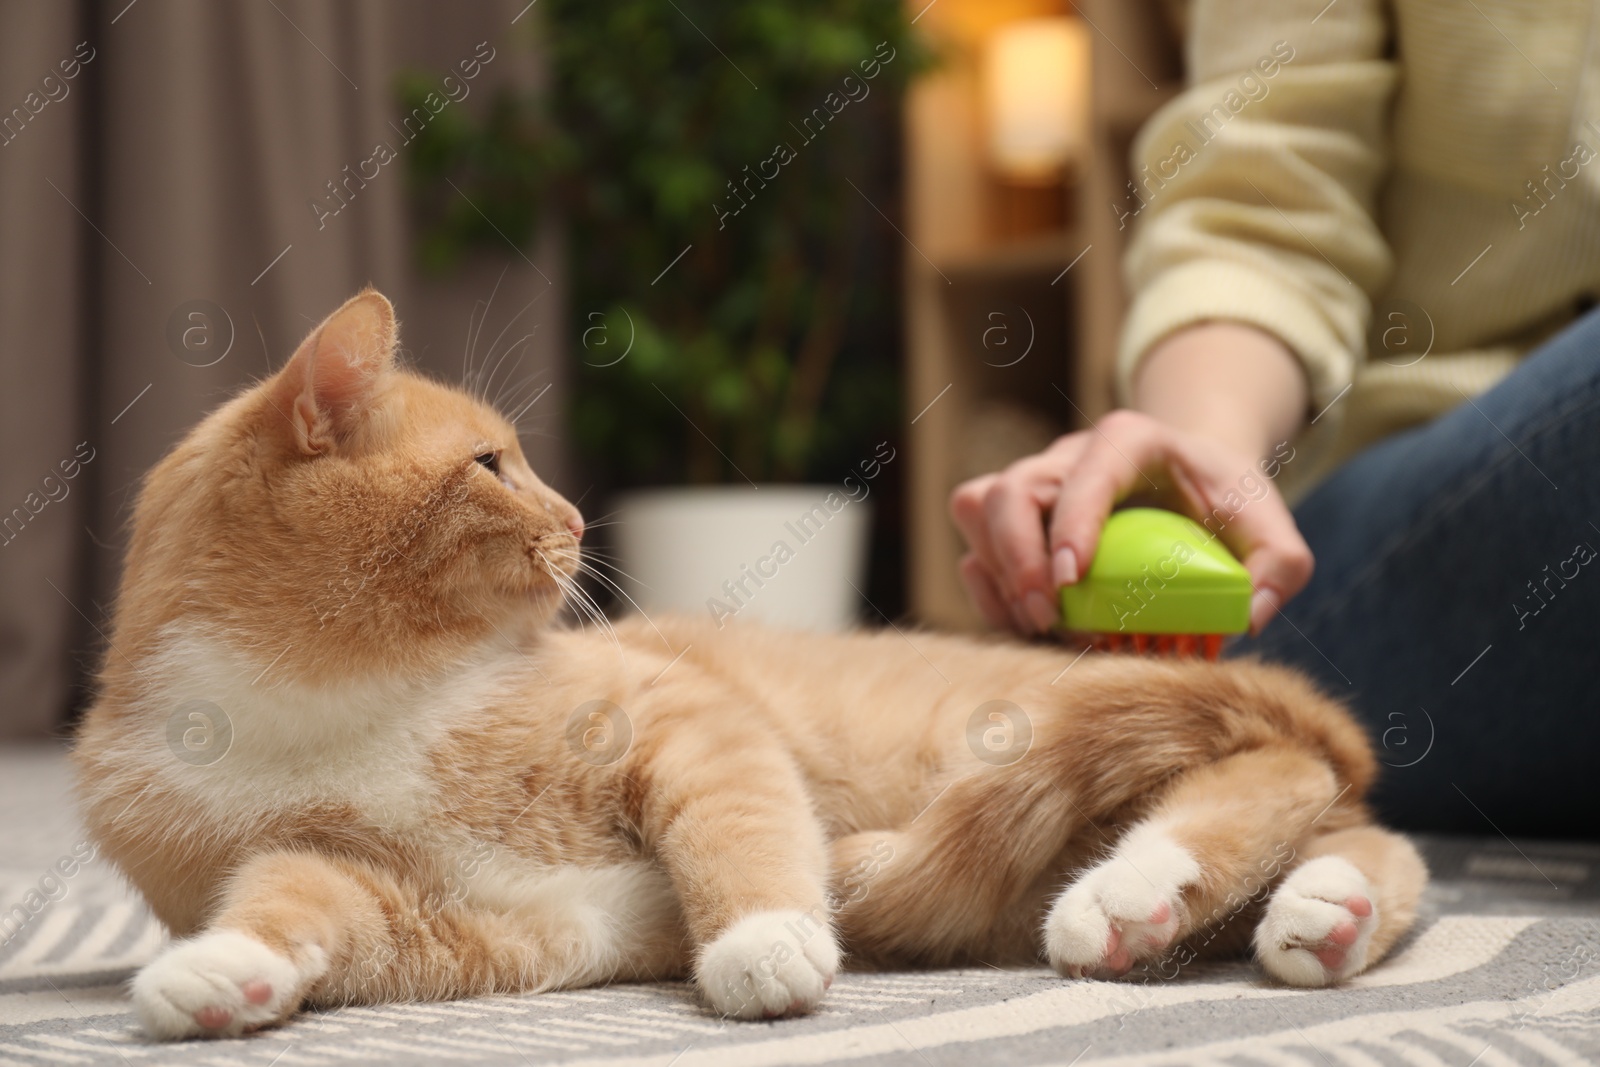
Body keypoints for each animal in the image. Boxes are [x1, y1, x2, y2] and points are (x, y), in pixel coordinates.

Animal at [72, 287, 1427, 1036]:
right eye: (492, 466)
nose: (577, 516)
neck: (347, 705)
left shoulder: (685, 717)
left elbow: (737, 827)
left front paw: (764, 939)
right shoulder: (419, 902)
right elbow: (295, 902)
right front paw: (222, 975)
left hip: (1044, 735)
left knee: (1283, 773)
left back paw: (1134, 888)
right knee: (1365, 836)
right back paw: (1321, 914)